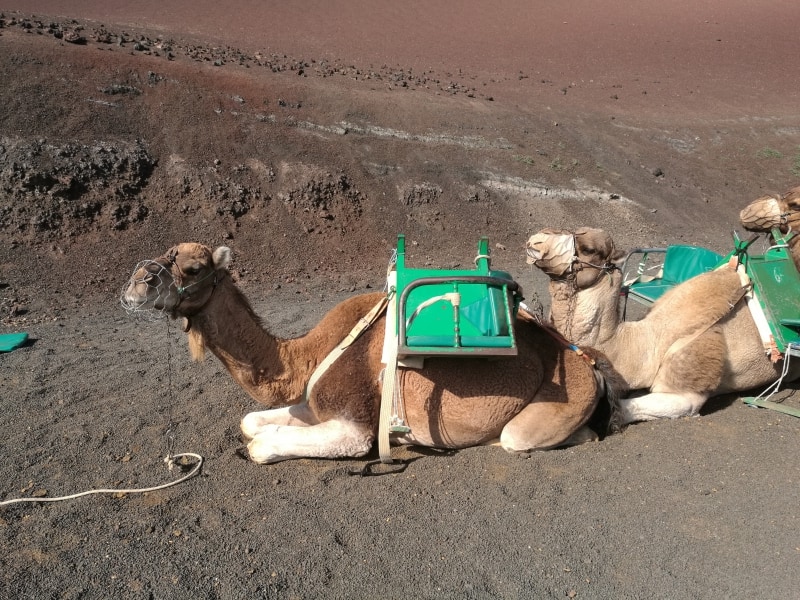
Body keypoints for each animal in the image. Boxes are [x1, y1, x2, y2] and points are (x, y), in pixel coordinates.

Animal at [121, 243, 623, 464]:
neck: (306, 356)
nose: (135, 284)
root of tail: (587, 362)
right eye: (166, 251)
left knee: (521, 437)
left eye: (192, 267)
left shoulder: (356, 423)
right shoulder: (313, 400)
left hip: (552, 406)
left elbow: (263, 446)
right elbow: (251, 422)